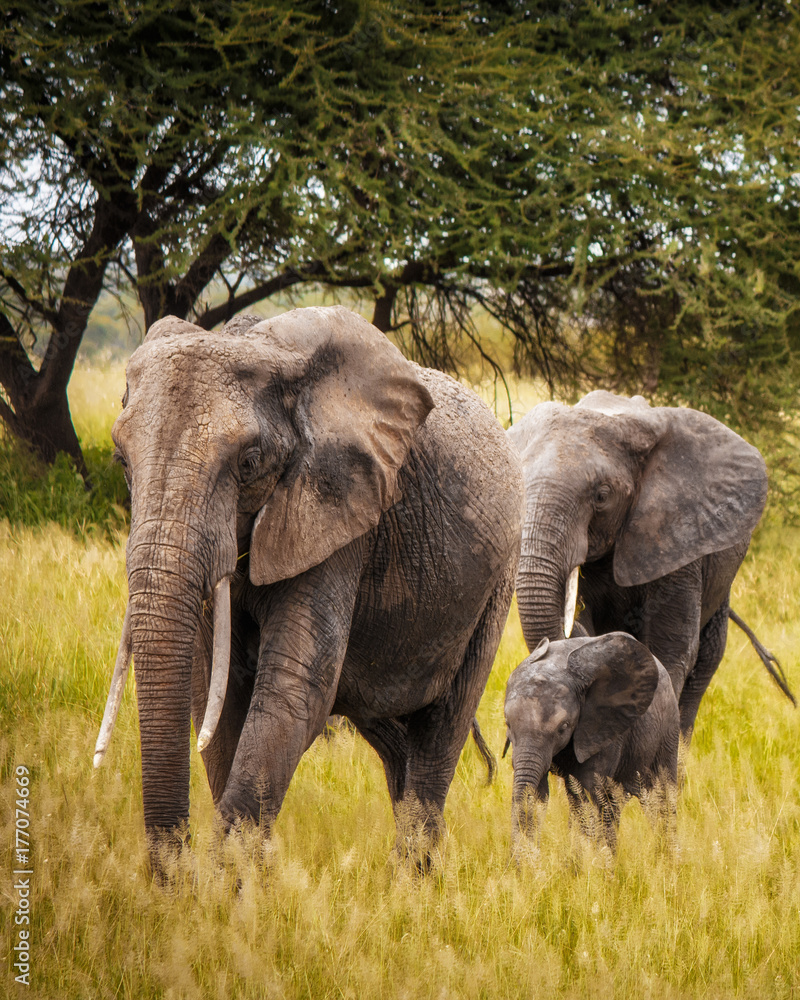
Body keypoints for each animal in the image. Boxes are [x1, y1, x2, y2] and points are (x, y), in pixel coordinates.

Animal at [94, 305, 523, 868]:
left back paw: (414, 875)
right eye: (121, 461)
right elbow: (216, 696)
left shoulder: (338, 513)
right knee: (389, 731)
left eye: (249, 462)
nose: (174, 868)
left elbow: (293, 691)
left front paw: (223, 882)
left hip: (497, 580)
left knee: (442, 724)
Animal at [503, 633, 679, 850]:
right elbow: (536, 795)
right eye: (507, 723)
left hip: (668, 729)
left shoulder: (603, 729)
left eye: (563, 727)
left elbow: (589, 793)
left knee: (661, 798)